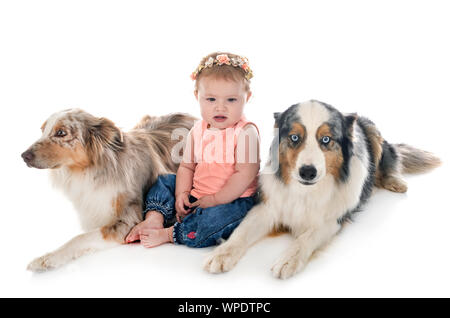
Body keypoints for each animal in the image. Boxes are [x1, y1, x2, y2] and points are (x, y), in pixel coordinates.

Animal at [22, 108, 195, 270]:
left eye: (61, 132)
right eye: (43, 130)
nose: (24, 156)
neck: (91, 169)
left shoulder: (128, 221)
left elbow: (80, 238)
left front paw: (48, 258)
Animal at [206, 100, 442, 278]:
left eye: (326, 139)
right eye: (294, 137)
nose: (308, 172)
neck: (305, 192)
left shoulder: (331, 220)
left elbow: (306, 238)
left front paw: (288, 260)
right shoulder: (268, 207)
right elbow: (241, 231)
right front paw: (220, 254)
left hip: (374, 134)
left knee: (390, 158)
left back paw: (395, 182)